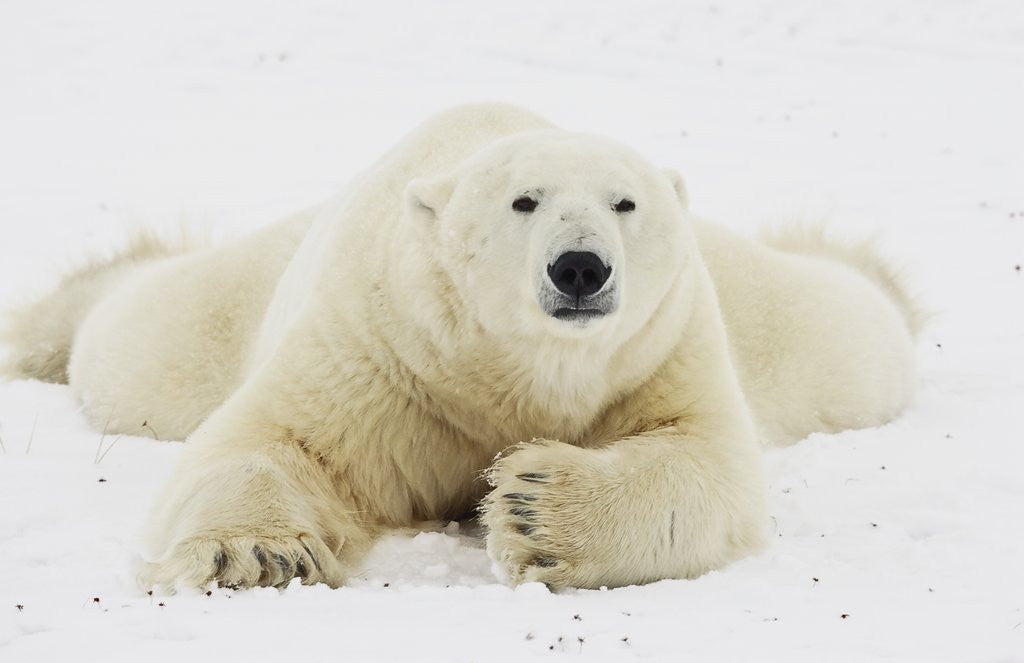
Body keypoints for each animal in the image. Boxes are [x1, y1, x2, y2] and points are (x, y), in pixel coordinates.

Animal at [0, 103, 920, 590]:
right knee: (130, 337)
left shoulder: (662, 349)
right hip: (215, 316)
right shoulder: (377, 350)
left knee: (854, 324)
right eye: (525, 200)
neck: (507, 365)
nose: (579, 266)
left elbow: (705, 462)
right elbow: (273, 438)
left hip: (769, 311)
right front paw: (255, 550)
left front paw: (532, 507)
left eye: (625, 202)